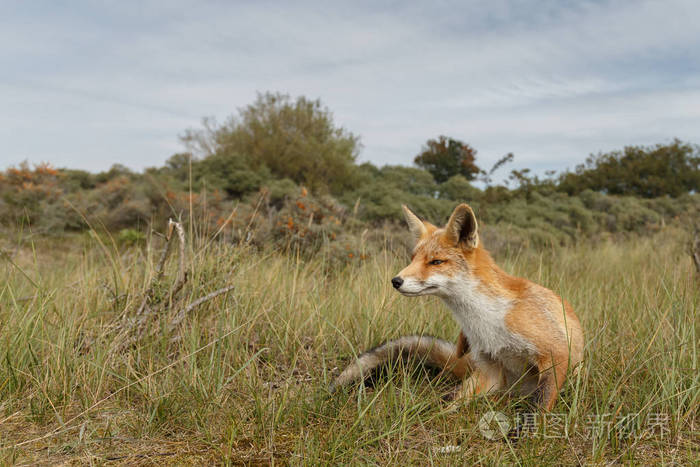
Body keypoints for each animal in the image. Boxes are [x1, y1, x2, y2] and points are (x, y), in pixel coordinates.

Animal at [330, 203, 584, 412]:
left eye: (436, 262)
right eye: (412, 259)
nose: (396, 281)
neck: (484, 320)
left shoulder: (555, 353)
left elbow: (539, 405)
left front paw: (528, 435)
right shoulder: (490, 369)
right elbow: (447, 402)